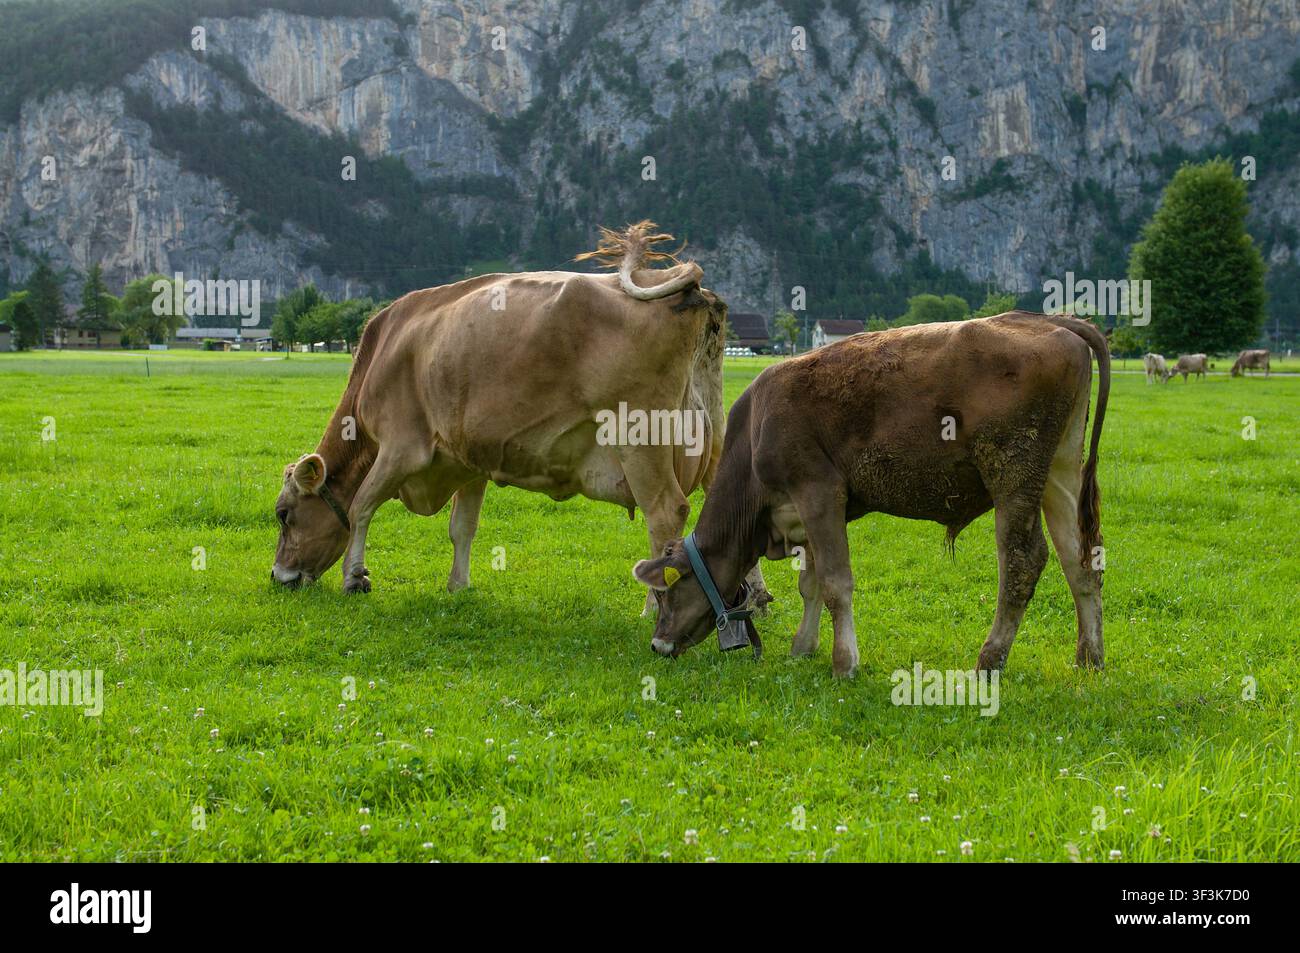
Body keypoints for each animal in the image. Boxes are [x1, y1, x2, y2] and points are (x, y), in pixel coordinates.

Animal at [271, 221, 770, 612]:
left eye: (283, 514)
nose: (279, 578)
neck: (383, 353)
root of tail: (684, 284)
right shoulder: (467, 459)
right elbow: (462, 528)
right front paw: (458, 586)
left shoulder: (400, 447)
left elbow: (361, 506)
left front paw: (354, 578)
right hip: (716, 434)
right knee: (732, 501)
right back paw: (755, 600)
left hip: (641, 440)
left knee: (666, 512)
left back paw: (654, 605)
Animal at [633, 311, 1109, 679]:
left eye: (666, 593)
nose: (657, 644)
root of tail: (1049, 319)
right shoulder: (803, 514)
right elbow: (810, 583)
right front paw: (802, 647)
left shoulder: (819, 492)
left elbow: (835, 583)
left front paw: (844, 662)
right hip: (1060, 469)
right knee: (1080, 559)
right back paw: (1089, 658)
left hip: (1013, 470)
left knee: (1023, 561)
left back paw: (990, 659)